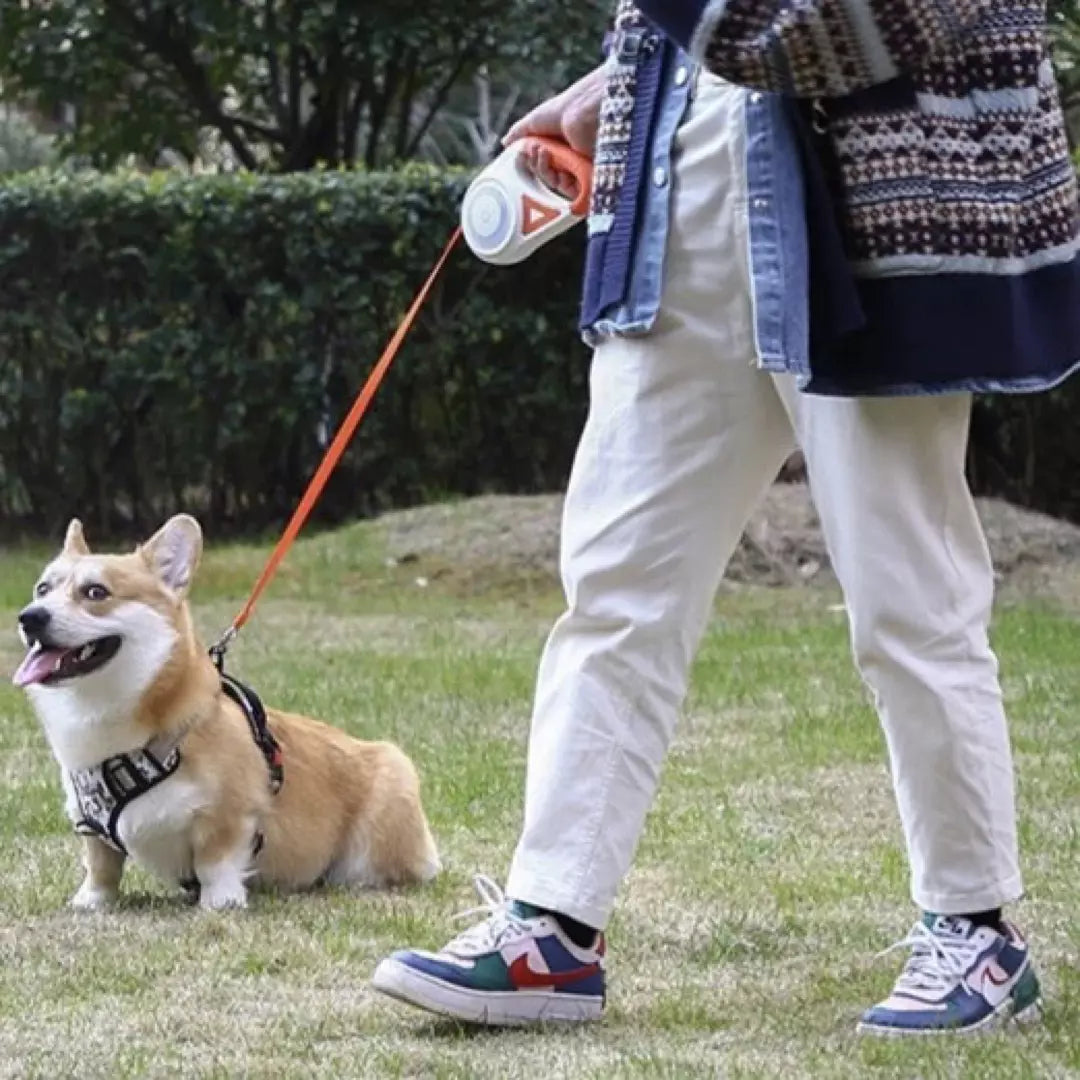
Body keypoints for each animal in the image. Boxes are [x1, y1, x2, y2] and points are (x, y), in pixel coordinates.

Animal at [10, 514, 436, 911]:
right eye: (42, 589)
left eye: (96, 592)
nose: (30, 616)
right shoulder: (89, 825)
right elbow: (101, 865)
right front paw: (91, 902)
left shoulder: (228, 815)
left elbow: (216, 860)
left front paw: (220, 902)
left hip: (388, 801)